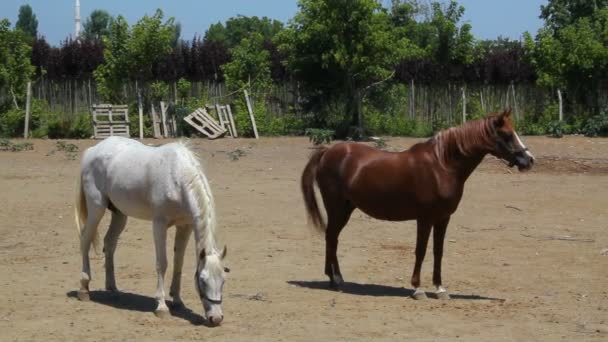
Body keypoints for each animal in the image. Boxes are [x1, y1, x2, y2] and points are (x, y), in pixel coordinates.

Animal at [75, 136, 228, 326]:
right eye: (203, 280)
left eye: (223, 281)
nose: (216, 318)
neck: (177, 176)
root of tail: (93, 150)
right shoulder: (159, 224)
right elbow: (162, 263)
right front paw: (161, 307)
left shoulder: (185, 226)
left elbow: (178, 262)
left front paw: (178, 301)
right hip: (97, 208)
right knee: (85, 240)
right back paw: (84, 288)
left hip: (119, 214)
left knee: (109, 243)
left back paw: (112, 288)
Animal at [302, 109, 536, 300]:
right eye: (507, 135)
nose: (529, 160)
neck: (442, 165)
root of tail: (327, 152)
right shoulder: (425, 218)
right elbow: (421, 251)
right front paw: (418, 289)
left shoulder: (443, 218)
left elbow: (438, 251)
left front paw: (440, 289)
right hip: (337, 208)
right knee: (331, 237)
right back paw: (336, 281)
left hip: (346, 208)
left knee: (332, 238)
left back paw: (334, 279)